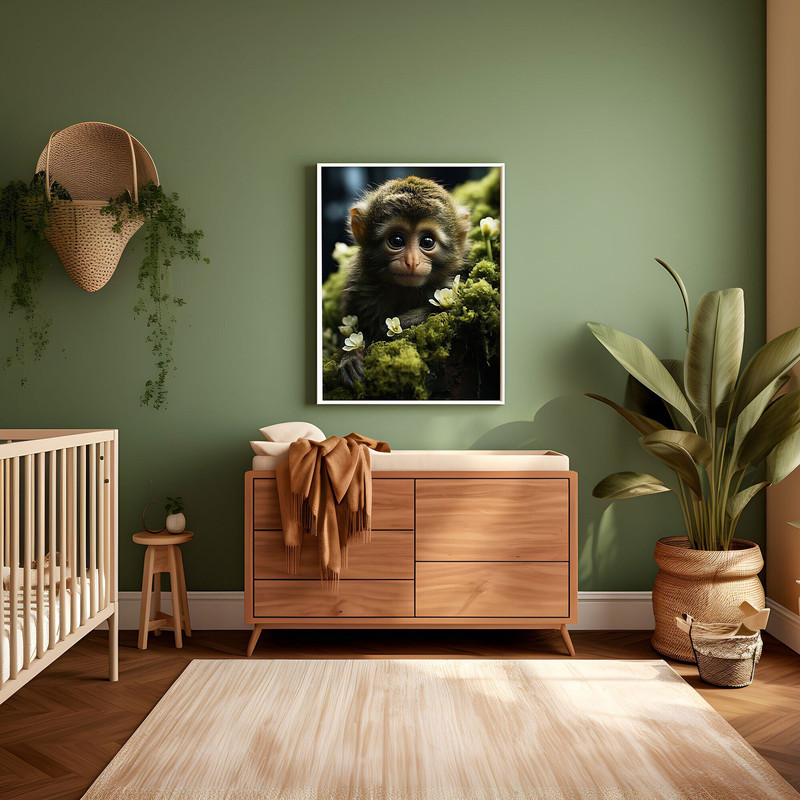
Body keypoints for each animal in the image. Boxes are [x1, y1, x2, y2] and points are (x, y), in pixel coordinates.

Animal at [338, 175, 471, 387]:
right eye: (397, 240)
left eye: (427, 242)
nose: (412, 261)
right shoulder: (357, 287)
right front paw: (349, 359)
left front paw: (405, 321)